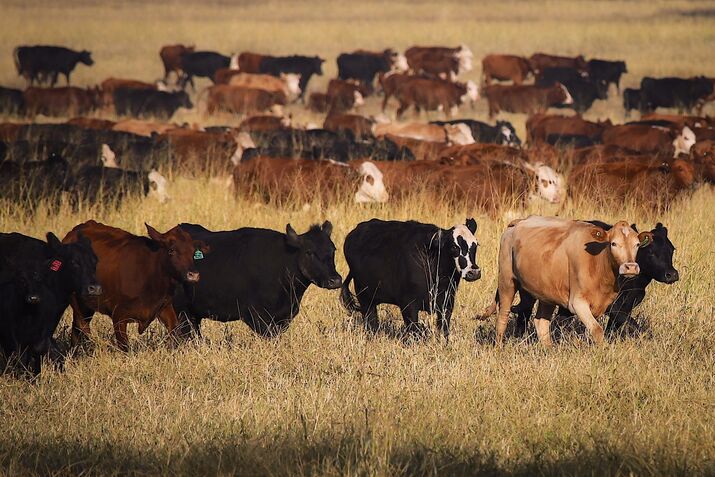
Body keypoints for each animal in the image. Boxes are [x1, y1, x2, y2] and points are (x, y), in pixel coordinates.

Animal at [63, 221, 208, 351]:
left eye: (193, 252)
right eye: (171, 250)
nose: (193, 275)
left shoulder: (164, 306)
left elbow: (174, 333)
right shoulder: (118, 316)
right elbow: (125, 347)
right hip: (77, 302)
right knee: (82, 326)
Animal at [341, 218, 480, 340]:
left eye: (475, 245)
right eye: (454, 247)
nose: (473, 272)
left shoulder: (447, 302)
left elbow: (444, 329)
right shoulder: (408, 305)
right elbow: (414, 332)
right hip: (364, 296)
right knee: (371, 321)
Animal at [499, 222, 678, 339]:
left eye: (672, 249)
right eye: (650, 252)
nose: (672, 274)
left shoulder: (620, 306)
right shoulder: (595, 305)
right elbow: (615, 327)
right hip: (513, 286)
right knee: (513, 315)